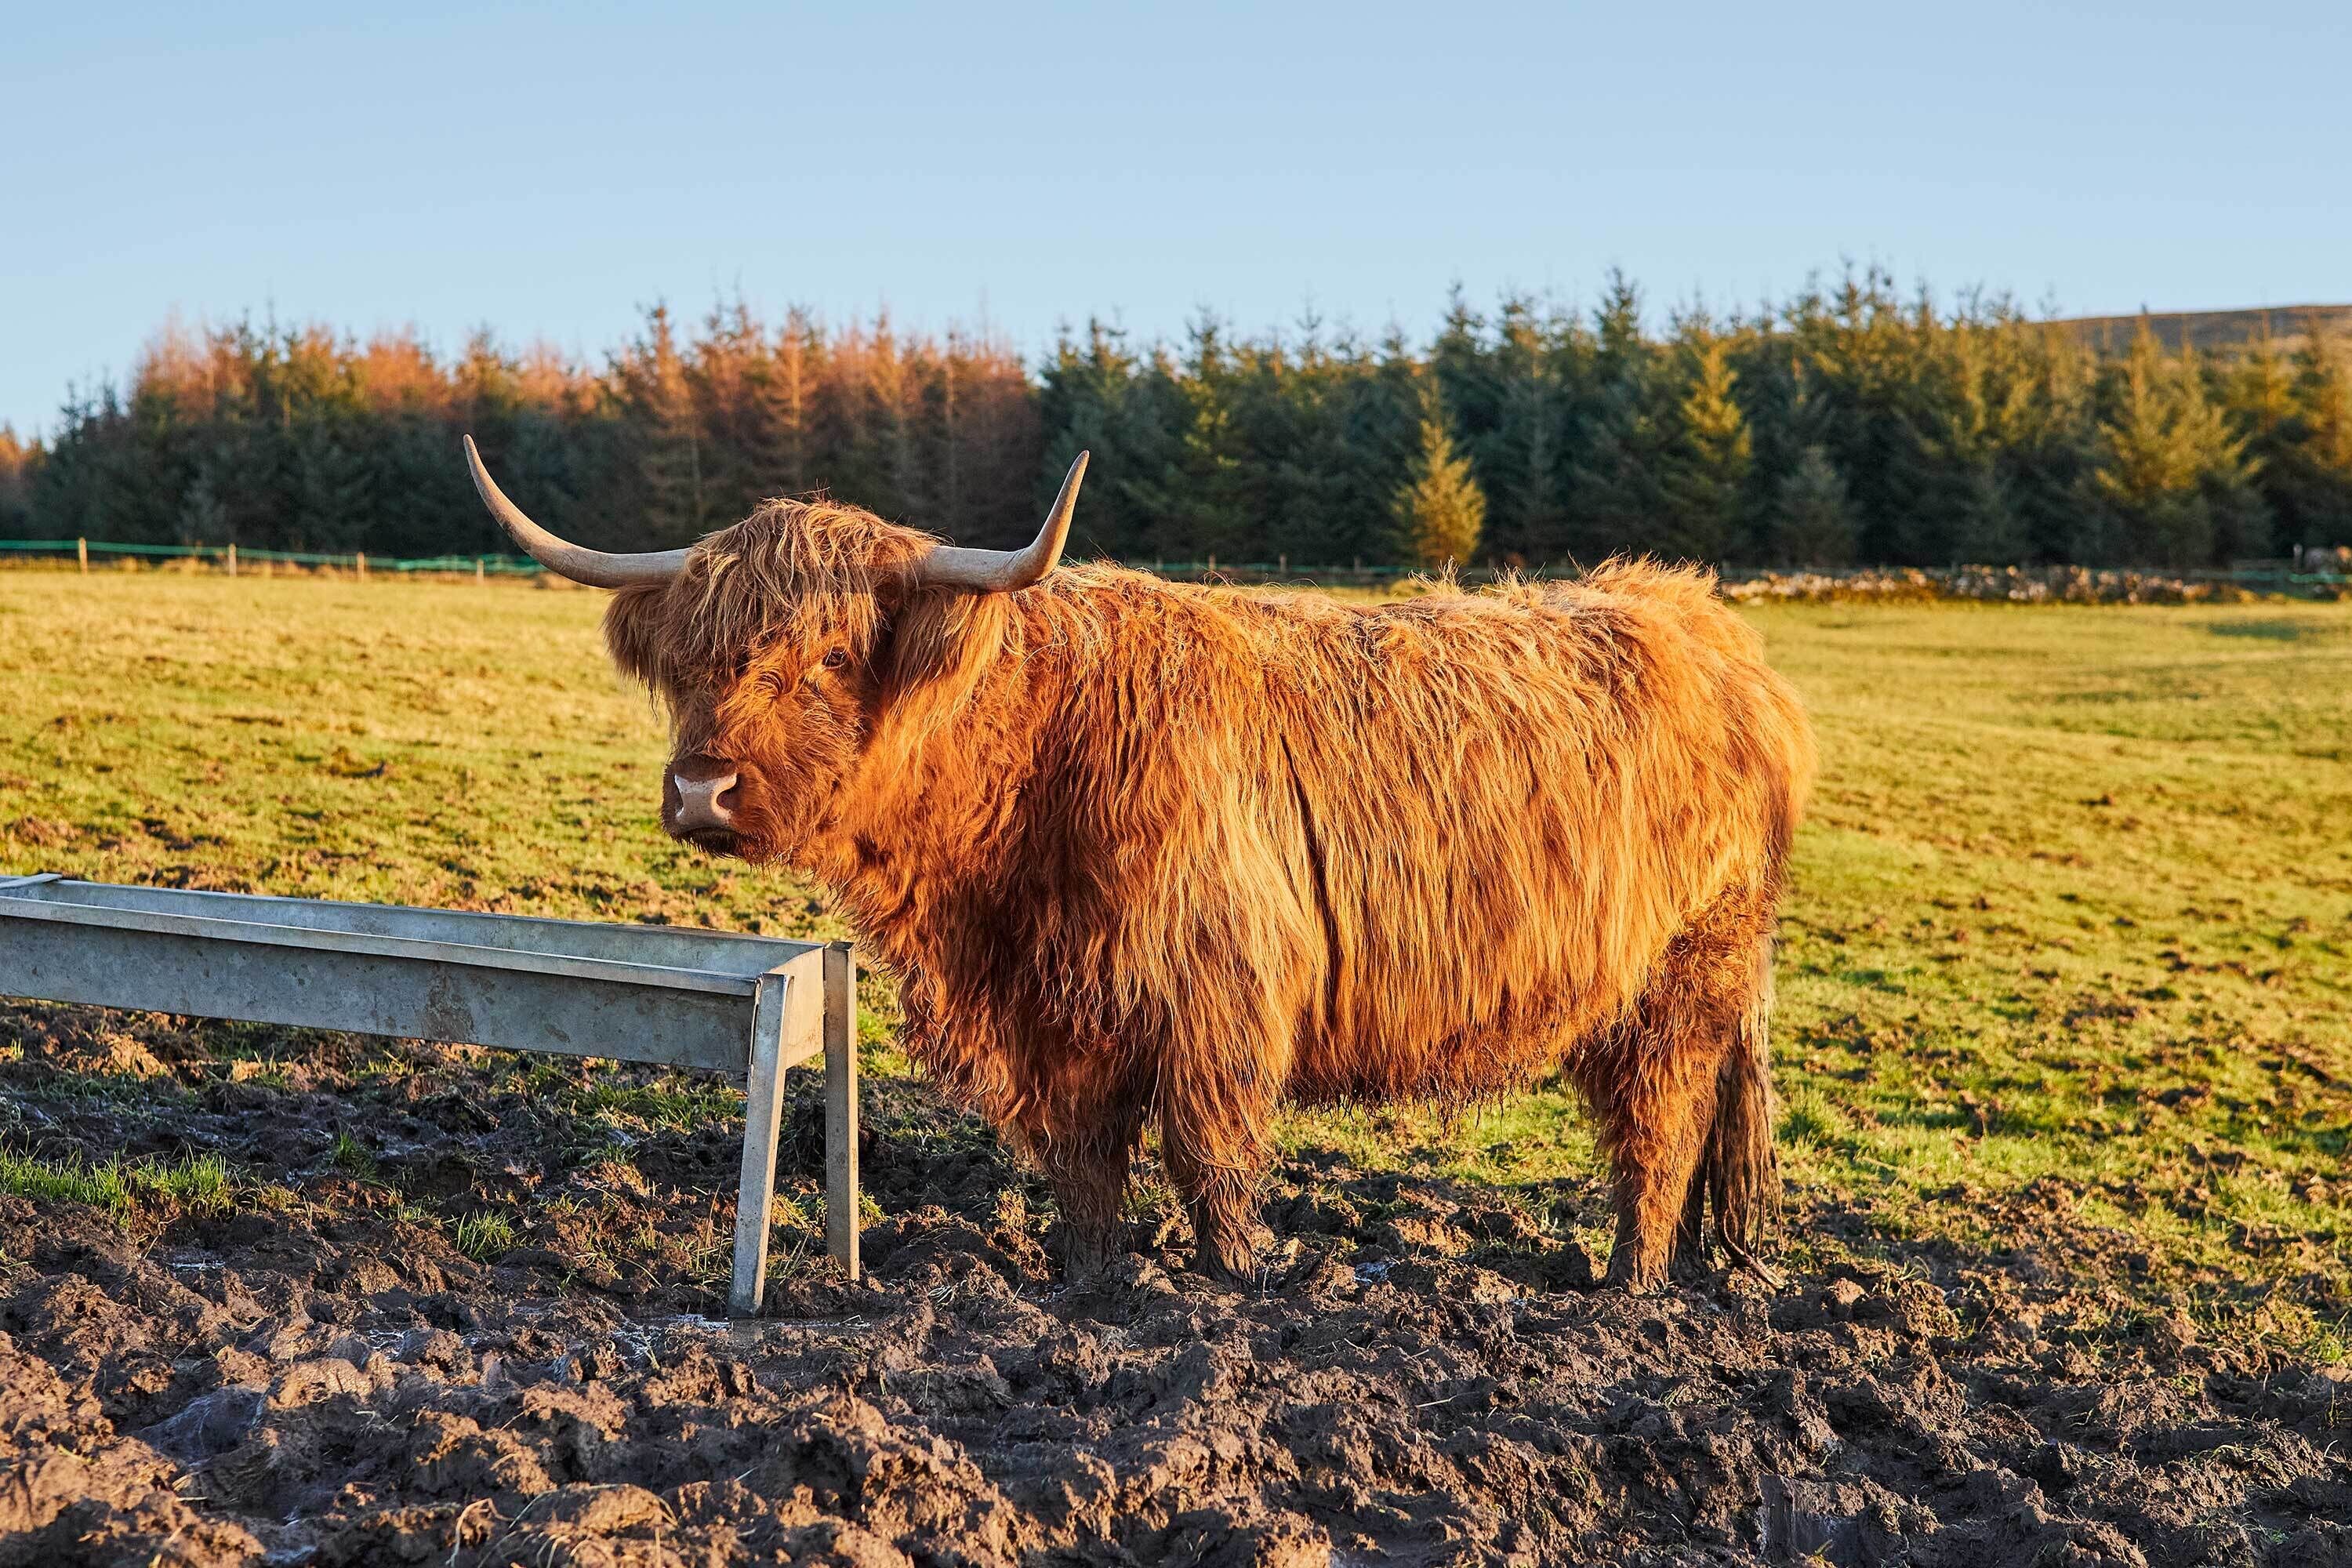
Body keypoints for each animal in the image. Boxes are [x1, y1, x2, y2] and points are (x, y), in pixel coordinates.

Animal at [463, 438, 1816, 1290]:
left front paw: (1238, 1281)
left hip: (1685, 978)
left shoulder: (1214, 995)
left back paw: (1627, 1288)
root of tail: (1704, 622)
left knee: (1661, 1131)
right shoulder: (1056, 1008)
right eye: (694, 656)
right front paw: (1089, 1287)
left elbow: (1206, 1158)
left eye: (829, 656)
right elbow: (1083, 1166)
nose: (701, 791)